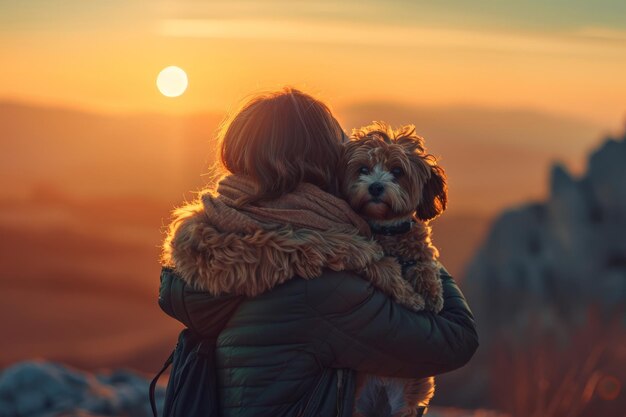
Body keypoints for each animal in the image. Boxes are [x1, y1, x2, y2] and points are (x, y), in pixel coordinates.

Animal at [338, 121, 446, 416]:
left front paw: (432, 295)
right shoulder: (367, 254)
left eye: (397, 171)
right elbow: (386, 269)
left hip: (408, 399)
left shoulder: (421, 249)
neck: (387, 229)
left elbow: (425, 265)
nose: (375, 187)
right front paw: (413, 298)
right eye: (363, 169)